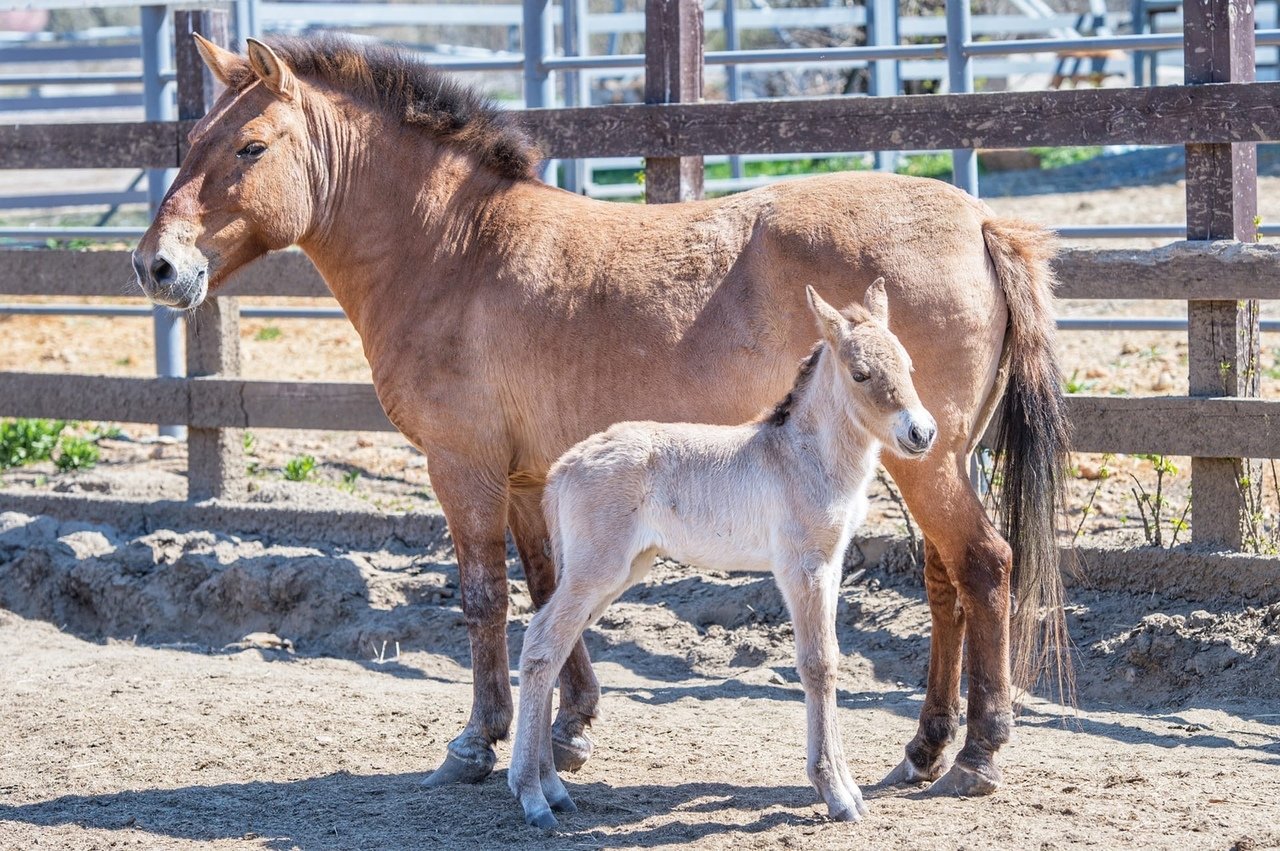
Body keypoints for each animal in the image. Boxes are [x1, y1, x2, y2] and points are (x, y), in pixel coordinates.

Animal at [509, 281, 942, 824]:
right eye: (861, 373)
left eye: (909, 366)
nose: (921, 433)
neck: (803, 457)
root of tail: (563, 466)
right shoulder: (802, 566)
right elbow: (818, 663)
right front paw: (837, 794)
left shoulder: (832, 564)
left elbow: (832, 658)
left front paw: (847, 788)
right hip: (596, 571)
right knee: (541, 644)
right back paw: (531, 796)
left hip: (618, 572)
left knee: (554, 645)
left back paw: (552, 788)